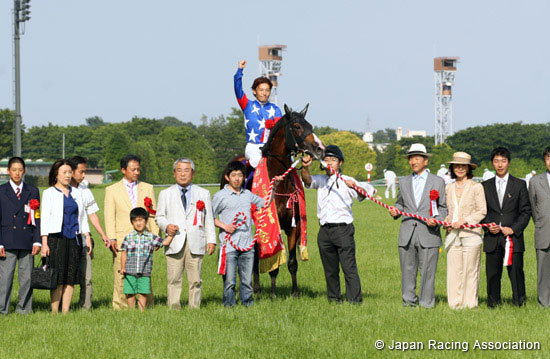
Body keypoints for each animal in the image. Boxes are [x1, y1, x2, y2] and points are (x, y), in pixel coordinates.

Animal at [222, 104, 326, 298]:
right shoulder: (270, 227)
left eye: (310, 125)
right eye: (297, 126)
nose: (320, 149)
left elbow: (292, 262)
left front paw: (294, 293)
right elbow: (273, 264)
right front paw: (272, 294)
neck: (280, 183)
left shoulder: (294, 226)